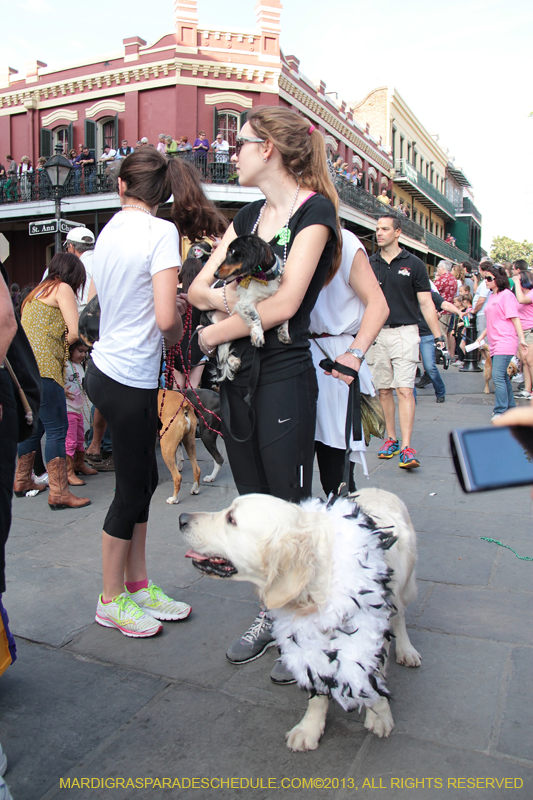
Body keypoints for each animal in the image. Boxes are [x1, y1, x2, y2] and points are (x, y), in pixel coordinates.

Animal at [179, 484, 420, 752]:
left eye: (231, 519)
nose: (181, 519)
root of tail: (376, 489)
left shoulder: (372, 631)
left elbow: (373, 678)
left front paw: (379, 715)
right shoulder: (306, 638)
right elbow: (316, 689)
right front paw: (310, 728)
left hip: (403, 589)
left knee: (400, 617)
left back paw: (407, 651)